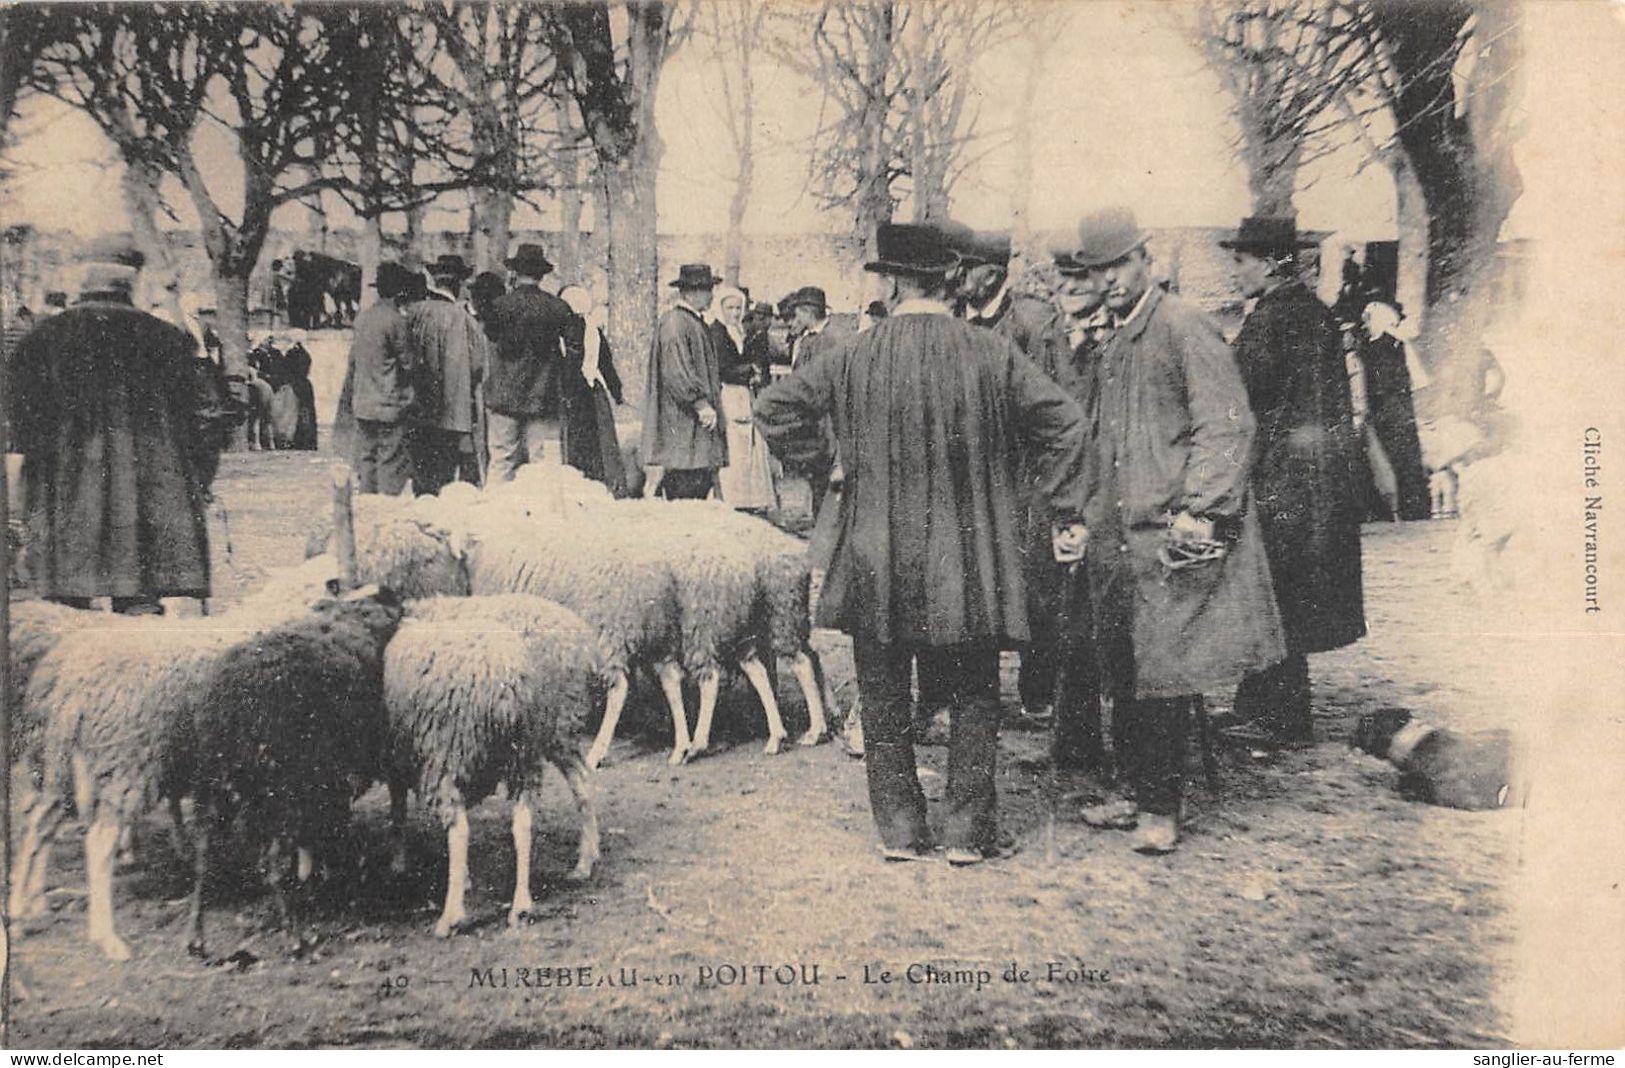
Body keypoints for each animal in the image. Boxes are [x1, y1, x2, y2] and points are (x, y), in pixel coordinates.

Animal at [380, 591, 604, 936]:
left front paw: (399, 862)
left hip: (454, 747)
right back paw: (574, 868)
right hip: (544, 737)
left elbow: (398, 809)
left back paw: (452, 915)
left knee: (460, 828)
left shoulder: (401, 750)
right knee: (566, 793)